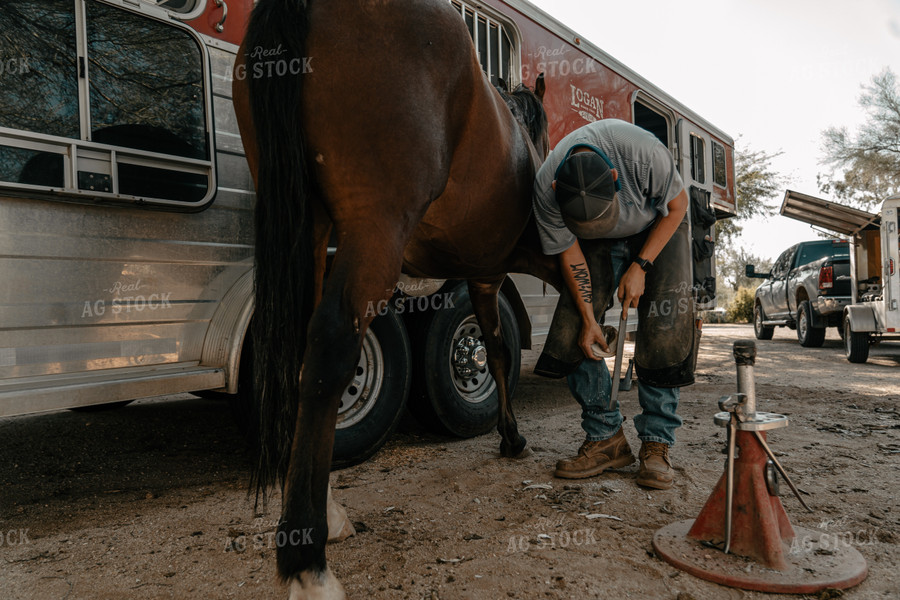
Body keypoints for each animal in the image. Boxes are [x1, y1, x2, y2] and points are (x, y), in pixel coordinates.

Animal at [229, 0, 560, 596]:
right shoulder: (489, 275)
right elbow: (497, 350)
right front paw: (512, 434)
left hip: (309, 226)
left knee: (300, 353)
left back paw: (325, 514)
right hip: (375, 226)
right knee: (330, 351)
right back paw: (307, 563)